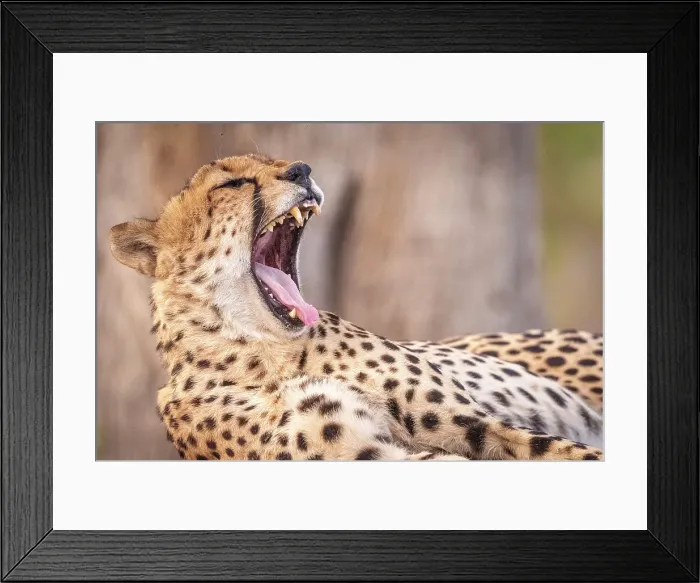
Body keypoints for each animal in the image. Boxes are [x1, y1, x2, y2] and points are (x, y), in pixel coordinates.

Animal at [109, 153, 604, 461]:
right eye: (233, 182)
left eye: (276, 162)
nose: (301, 169)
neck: (268, 351)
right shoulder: (369, 453)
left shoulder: (471, 425)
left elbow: (569, 451)